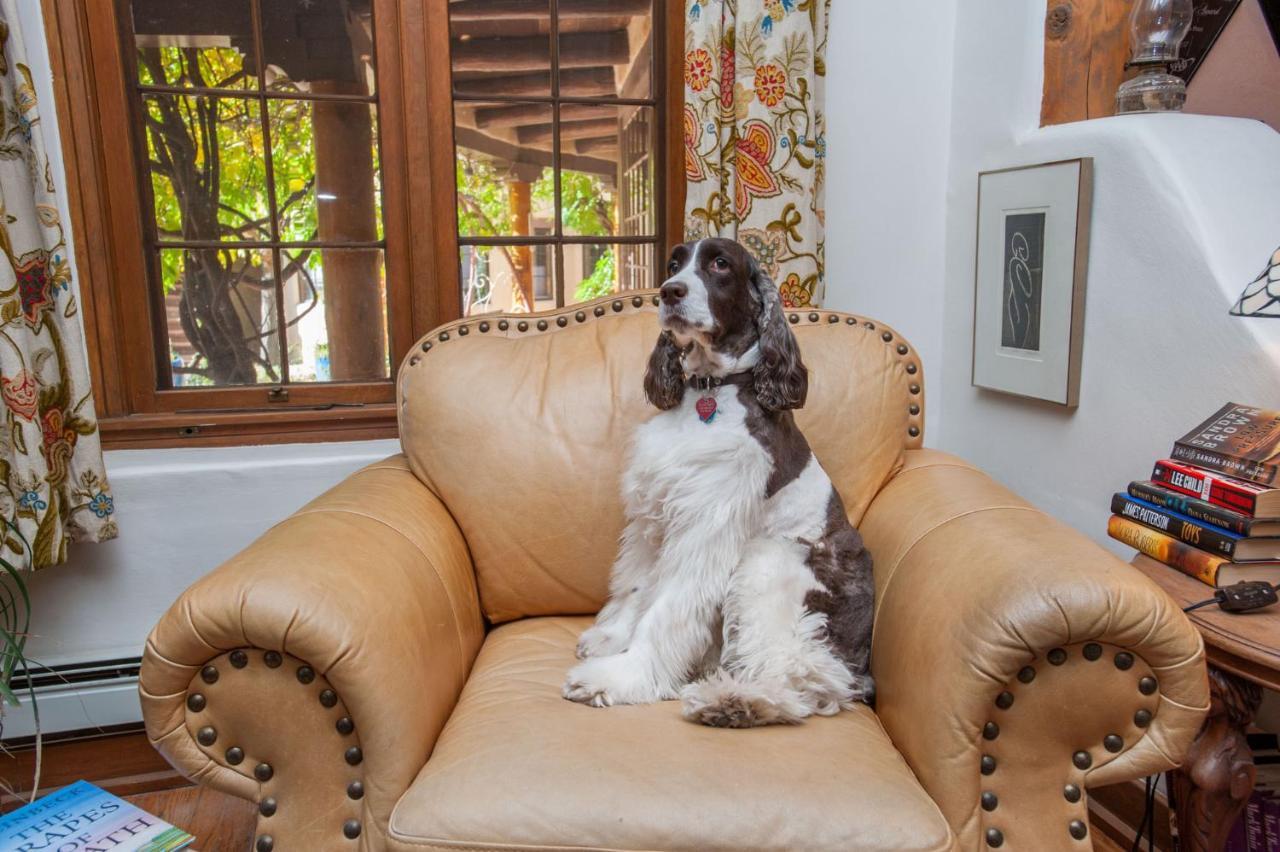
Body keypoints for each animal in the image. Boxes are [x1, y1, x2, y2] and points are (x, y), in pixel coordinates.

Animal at [565, 236, 875, 721]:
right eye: (674, 264)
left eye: (720, 264)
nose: (669, 291)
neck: (709, 392)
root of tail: (860, 664)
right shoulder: (656, 513)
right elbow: (637, 586)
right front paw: (610, 639)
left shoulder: (706, 522)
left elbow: (667, 609)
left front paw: (618, 677)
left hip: (771, 560)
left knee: (802, 673)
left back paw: (732, 701)